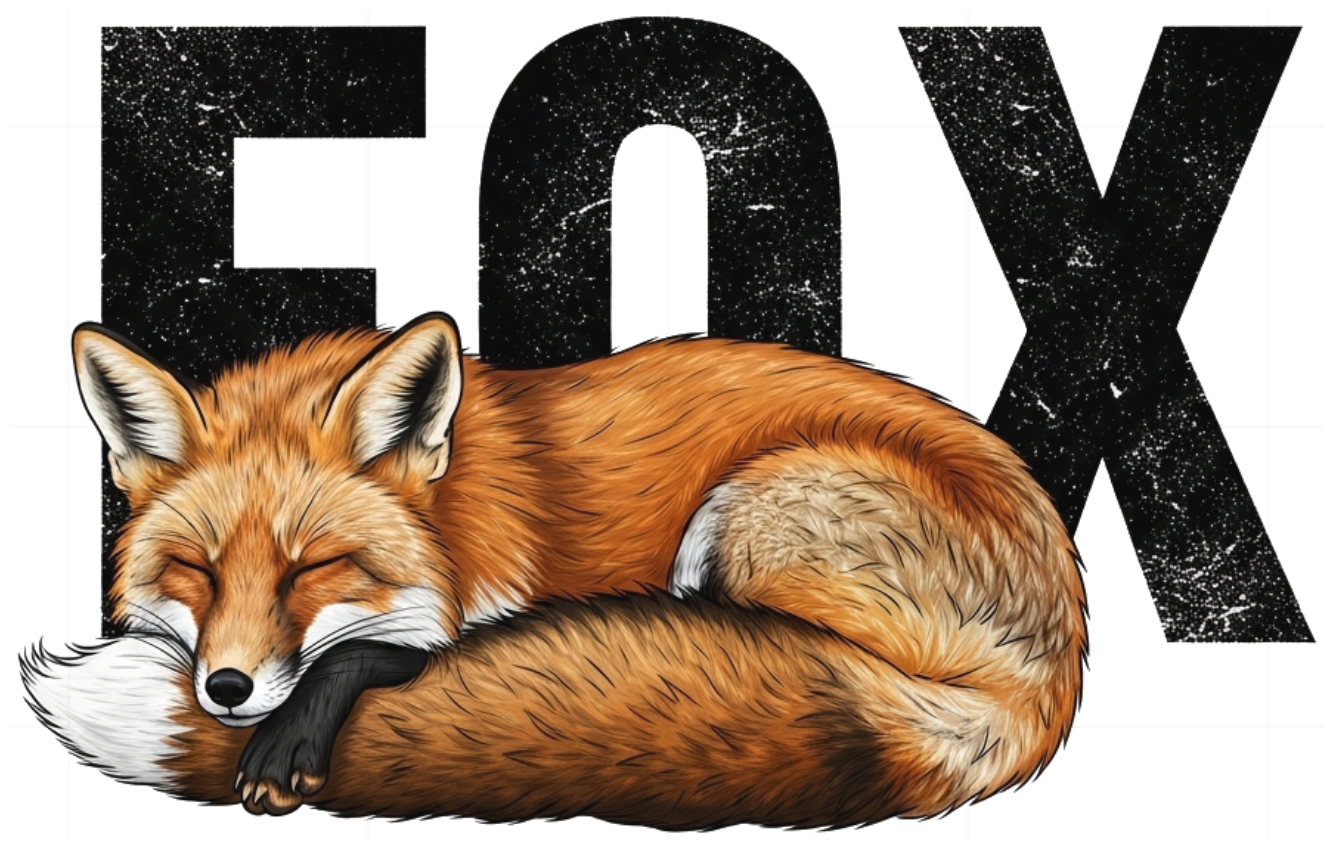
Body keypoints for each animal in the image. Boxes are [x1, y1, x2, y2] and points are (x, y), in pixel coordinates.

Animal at [17, 310, 1087, 829]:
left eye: (313, 567)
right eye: (196, 570)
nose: (228, 689)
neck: (459, 510)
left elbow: (400, 648)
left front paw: (295, 733)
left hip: (746, 512)